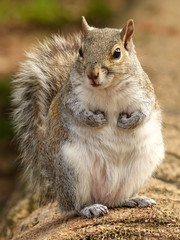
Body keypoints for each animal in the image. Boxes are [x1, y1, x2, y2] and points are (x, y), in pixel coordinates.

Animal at [11, 17, 165, 218]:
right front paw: (95, 119)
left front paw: (127, 122)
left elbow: (145, 112)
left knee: (115, 201)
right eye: (80, 51)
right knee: (72, 207)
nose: (92, 74)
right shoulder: (70, 96)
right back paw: (89, 208)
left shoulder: (145, 93)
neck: (107, 89)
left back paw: (133, 199)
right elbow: (75, 110)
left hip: (141, 167)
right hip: (71, 170)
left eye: (117, 53)